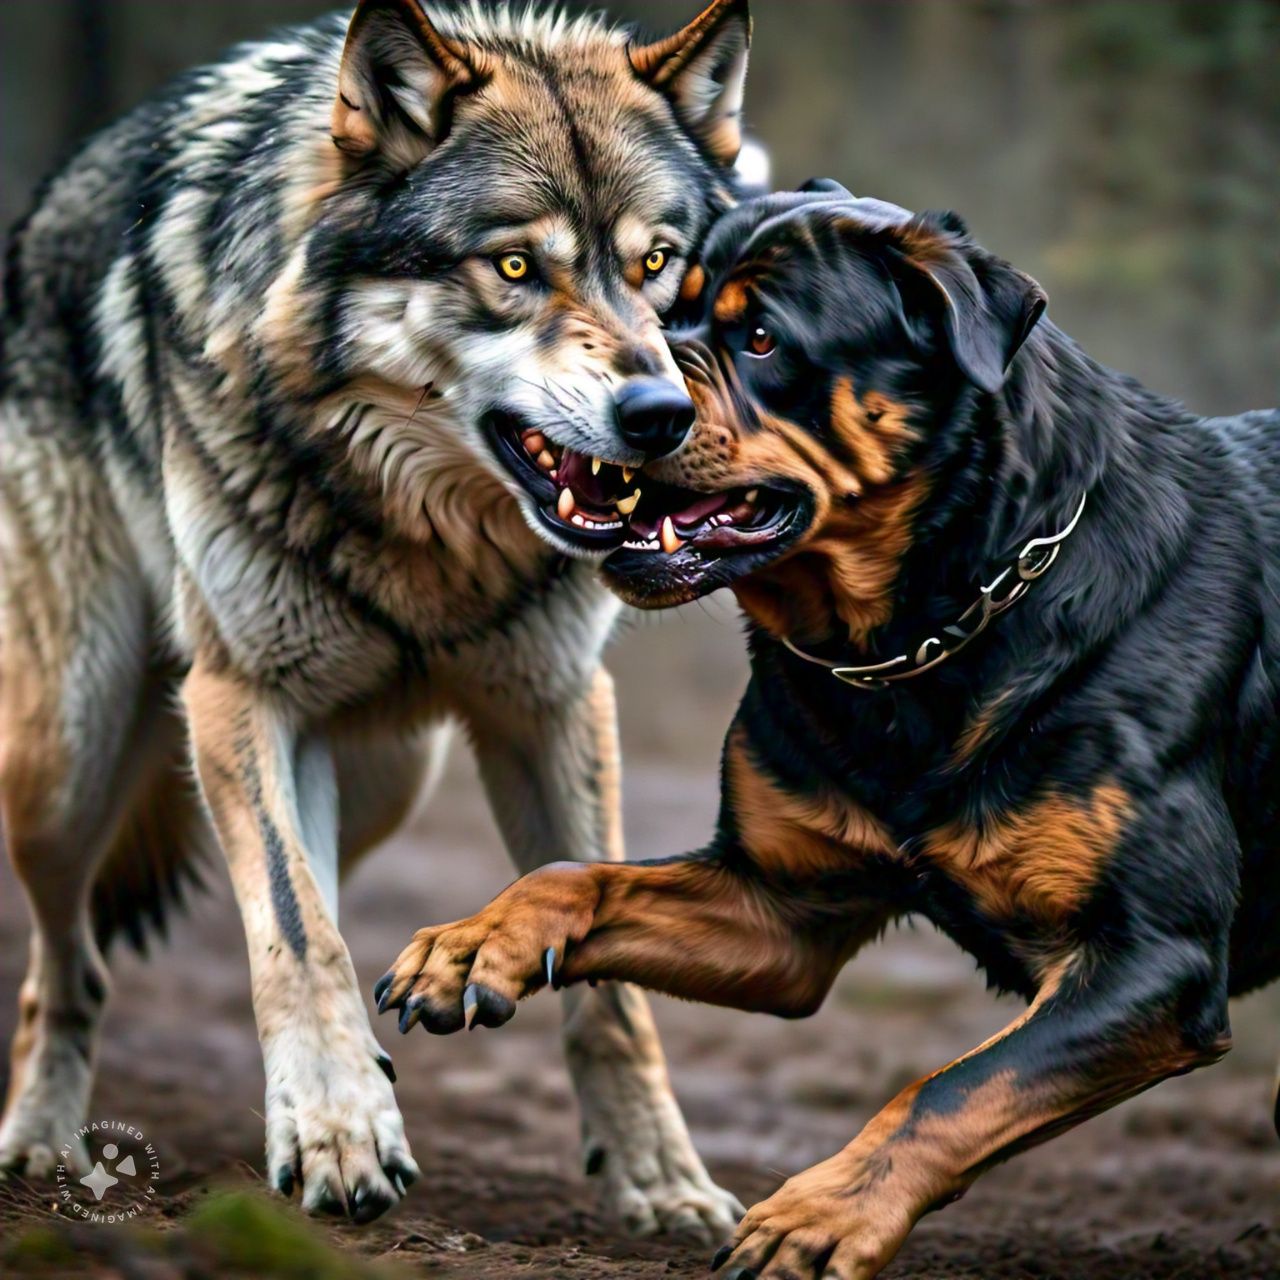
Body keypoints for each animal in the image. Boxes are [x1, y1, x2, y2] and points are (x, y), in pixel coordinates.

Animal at [0, 0, 752, 1231]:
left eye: (657, 261)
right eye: (513, 265)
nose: (659, 414)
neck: (430, 542)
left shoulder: (552, 708)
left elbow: (604, 986)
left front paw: (660, 1179)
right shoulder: (238, 695)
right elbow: (294, 934)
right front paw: (340, 1138)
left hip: (389, 777)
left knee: (326, 896)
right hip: (66, 757)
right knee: (74, 961)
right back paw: (42, 1138)